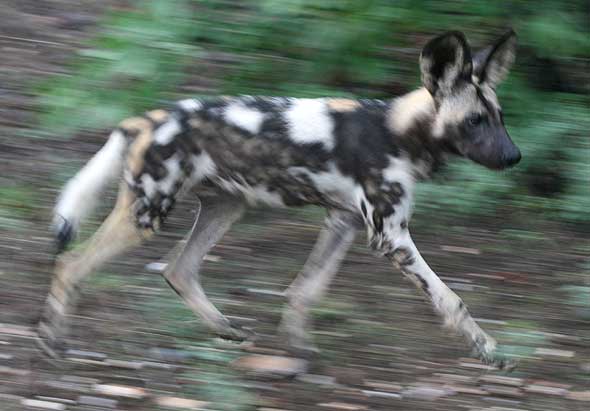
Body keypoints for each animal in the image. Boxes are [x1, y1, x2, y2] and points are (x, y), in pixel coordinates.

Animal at [37, 29, 520, 370]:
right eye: (474, 121)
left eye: (500, 117)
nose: (514, 156)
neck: (399, 133)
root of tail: (144, 119)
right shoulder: (391, 237)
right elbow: (451, 298)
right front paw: (488, 350)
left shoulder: (343, 222)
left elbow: (306, 291)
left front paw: (299, 347)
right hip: (147, 214)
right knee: (72, 263)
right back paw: (52, 342)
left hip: (225, 206)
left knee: (178, 268)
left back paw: (226, 329)